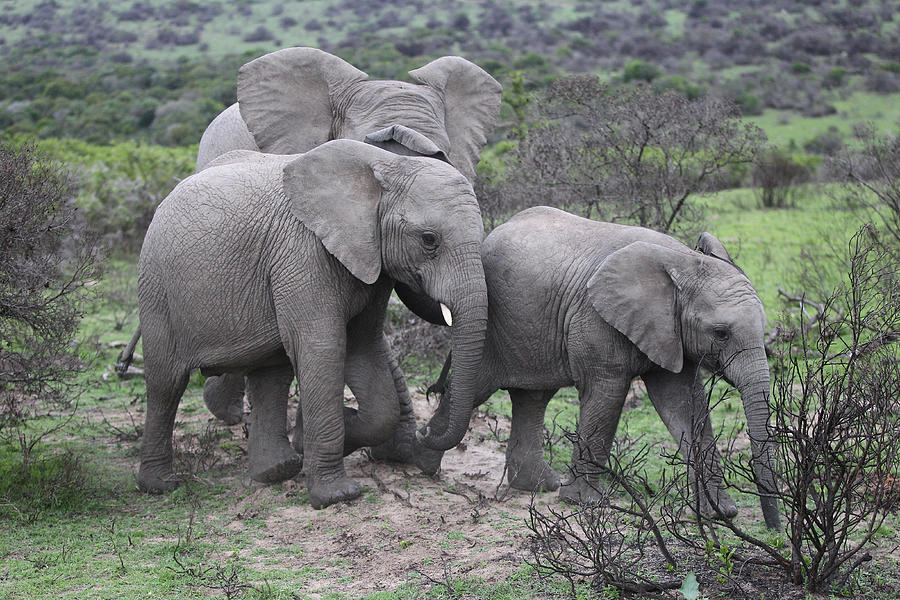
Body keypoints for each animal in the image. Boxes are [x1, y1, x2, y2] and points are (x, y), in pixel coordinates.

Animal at [134, 139, 488, 506]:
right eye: (429, 240)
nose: (428, 429)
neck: (388, 165)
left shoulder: (369, 264)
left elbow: (365, 353)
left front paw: (332, 434)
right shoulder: (303, 252)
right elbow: (325, 348)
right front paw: (337, 495)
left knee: (271, 374)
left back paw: (275, 471)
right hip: (156, 285)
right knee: (166, 383)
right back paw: (161, 486)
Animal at [414, 207, 780, 528]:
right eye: (721, 334)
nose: (774, 527)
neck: (684, 261)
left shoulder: (669, 333)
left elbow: (684, 405)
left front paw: (721, 513)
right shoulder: (597, 320)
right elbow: (608, 394)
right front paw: (584, 503)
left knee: (533, 398)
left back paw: (537, 486)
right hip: (492, 327)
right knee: (475, 389)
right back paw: (425, 465)